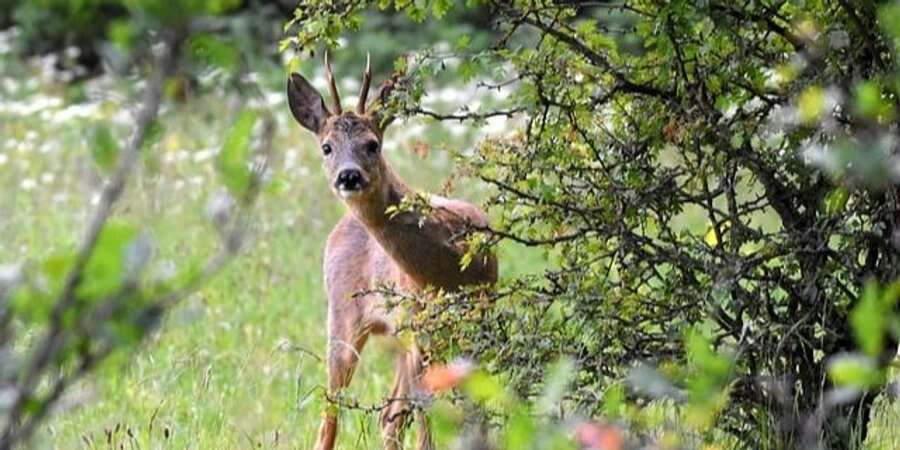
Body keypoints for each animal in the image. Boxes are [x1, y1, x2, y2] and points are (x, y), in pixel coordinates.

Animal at [288, 53, 500, 450]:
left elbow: (474, 412)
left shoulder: (478, 318)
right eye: (326, 147)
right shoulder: (419, 327)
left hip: (401, 336)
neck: (448, 267)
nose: (349, 176)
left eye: (373, 144)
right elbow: (427, 414)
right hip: (344, 316)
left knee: (390, 414)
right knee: (333, 415)